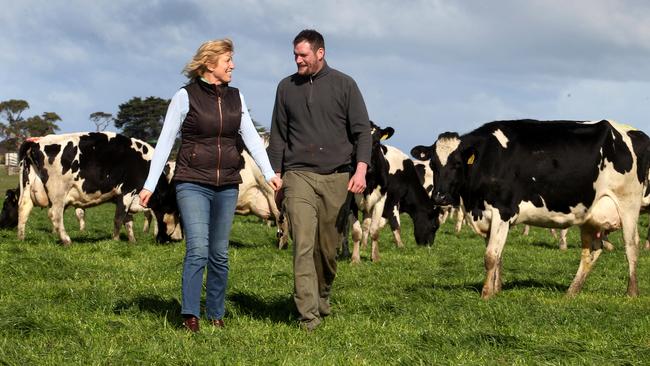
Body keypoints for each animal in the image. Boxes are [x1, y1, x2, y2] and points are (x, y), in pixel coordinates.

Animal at [17, 132, 180, 246]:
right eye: (177, 213)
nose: (178, 239)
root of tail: (37, 142)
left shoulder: (123, 197)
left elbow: (128, 220)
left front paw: (132, 240)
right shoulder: (128, 192)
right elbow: (119, 218)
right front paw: (115, 240)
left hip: (27, 190)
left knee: (23, 210)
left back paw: (21, 238)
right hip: (58, 193)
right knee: (55, 215)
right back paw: (66, 240)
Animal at [410, 119, 648, 298]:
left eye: (457, 164)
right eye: (433, 165)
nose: (439, 196)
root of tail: (634, 132)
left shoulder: (502, 211)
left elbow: (490, 256)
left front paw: (486, 294)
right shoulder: (488, 216)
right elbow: (498, 255)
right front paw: (497, 289)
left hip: (628, 204)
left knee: (631, 245)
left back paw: (631, 292)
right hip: (591, 215)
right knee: (591, 251)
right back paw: (572, 291)